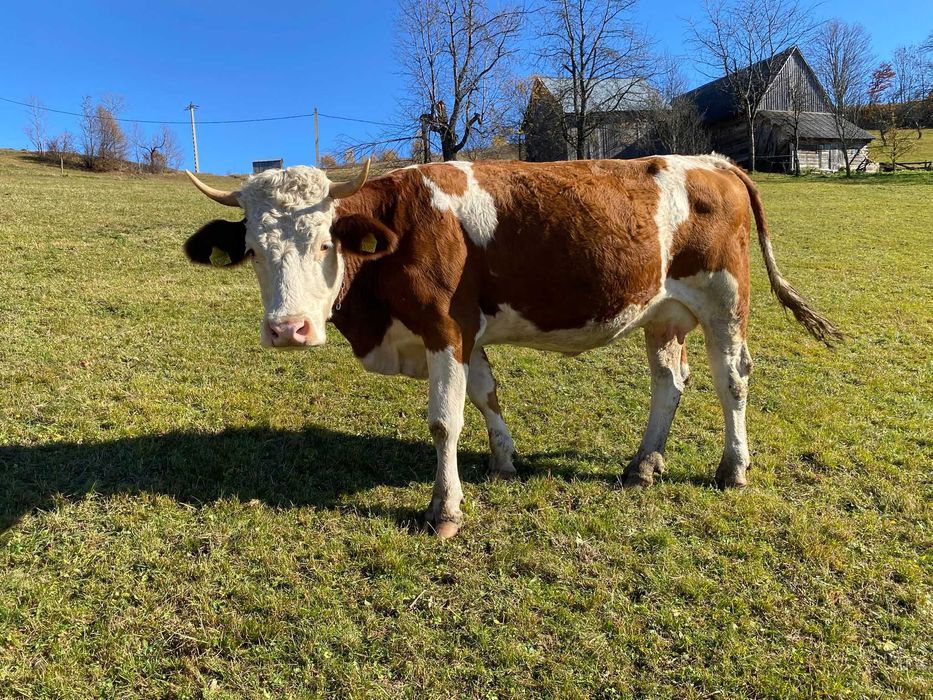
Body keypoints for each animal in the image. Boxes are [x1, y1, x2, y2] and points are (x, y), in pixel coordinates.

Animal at [182, 155, 840, 538]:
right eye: (253, 251)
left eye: (324, 243)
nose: (287, 330)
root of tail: (712, 161)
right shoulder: (467, 331)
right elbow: (485, 394)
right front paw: (503, 460)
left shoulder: (444, 327)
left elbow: (445, 419)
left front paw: (445, 509)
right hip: (663, 313)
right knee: (669, 383)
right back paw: (642, 464)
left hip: (724, 301)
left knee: (732, 380)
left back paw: (733, 468)